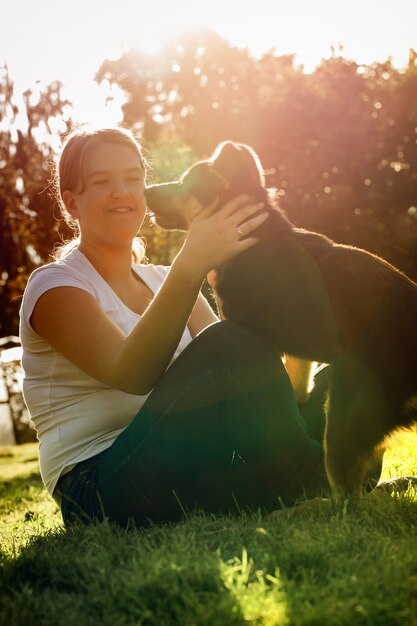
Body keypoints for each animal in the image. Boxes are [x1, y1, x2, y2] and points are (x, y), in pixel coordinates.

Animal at [144, 141, 416, 498]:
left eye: (185, 182)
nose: (145, 190)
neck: (250, 239)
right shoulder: (298, 354)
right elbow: (296, 389)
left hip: (346, 412)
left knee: (349, 494)